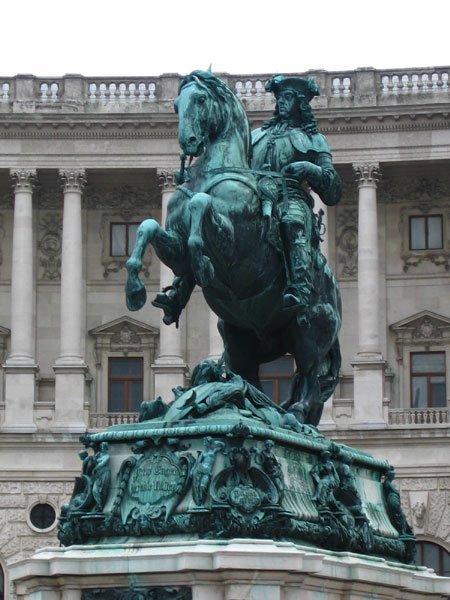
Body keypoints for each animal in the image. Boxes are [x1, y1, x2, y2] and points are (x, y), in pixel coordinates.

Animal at [125, 71, 340, 426]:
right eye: (176, 104)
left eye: (200, 99)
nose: (189, 142)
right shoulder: (175, 250)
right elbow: (148, 226)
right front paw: (136, 288)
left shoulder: (237, 247)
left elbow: (200, 205)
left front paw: (202, 261)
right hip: (239, 337)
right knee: (251, 381)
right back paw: (249, 405)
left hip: (309, 326)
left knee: (309, 375)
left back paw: (294, 412)